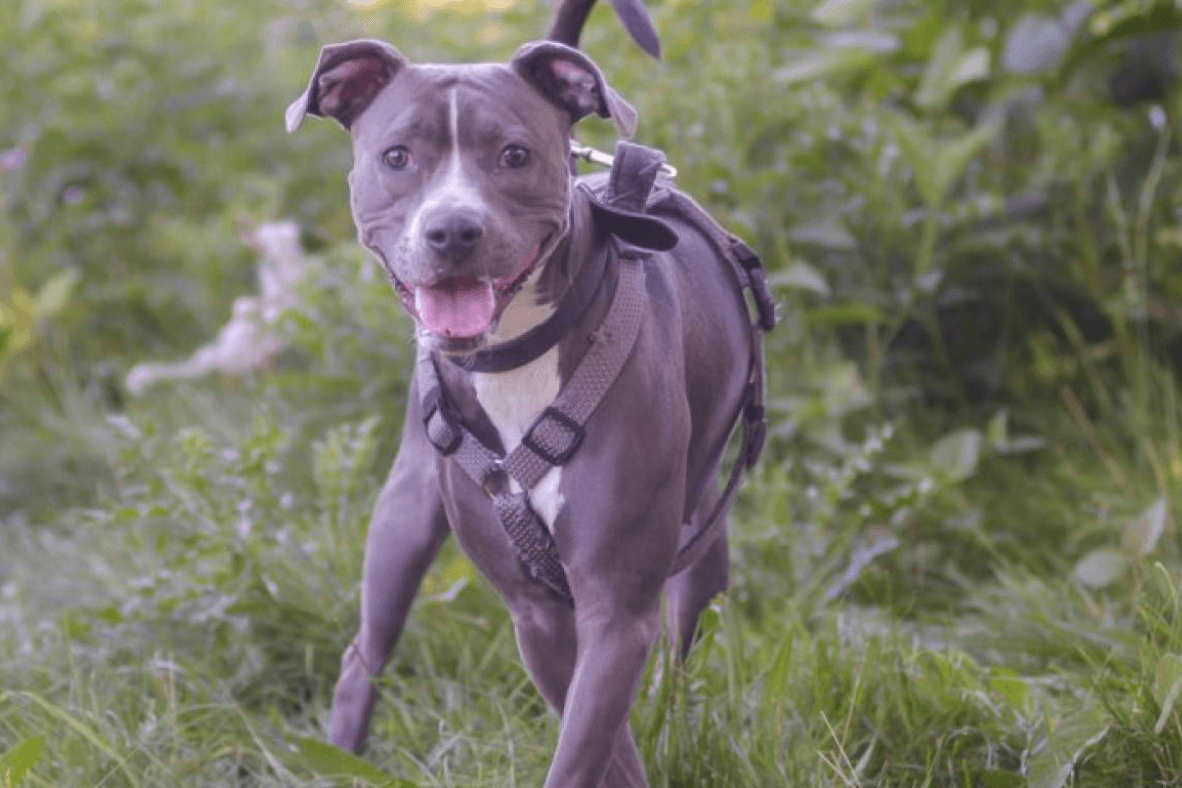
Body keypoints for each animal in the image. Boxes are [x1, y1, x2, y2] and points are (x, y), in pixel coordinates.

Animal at [283, 3, 765, 784]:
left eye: (514, 154)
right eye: (397, 156)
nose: (453, 229)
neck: (516, 357)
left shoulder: (616, 608)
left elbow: (590, 746)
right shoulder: (540, 615)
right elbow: (604, 747)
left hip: (701, 535)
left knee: (687, 638)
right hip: (404, 514)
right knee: (363, 657)